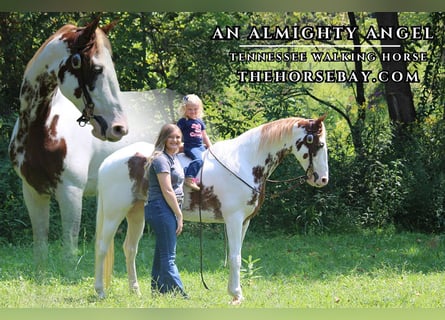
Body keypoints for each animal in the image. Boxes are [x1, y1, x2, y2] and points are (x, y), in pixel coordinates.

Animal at [94, 115, 330, 302]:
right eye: (317, 143)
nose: (322, 179)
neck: (244, 161)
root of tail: (107, 162)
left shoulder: (245, 222)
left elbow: (237, 254)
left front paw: (234, 292)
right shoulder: (233, 219)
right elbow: (235, 257)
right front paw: (236, 294)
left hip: (137, 213)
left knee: (130, 248)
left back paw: (135, 291)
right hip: (115, 213)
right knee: (103, 247)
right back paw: (100, 291)